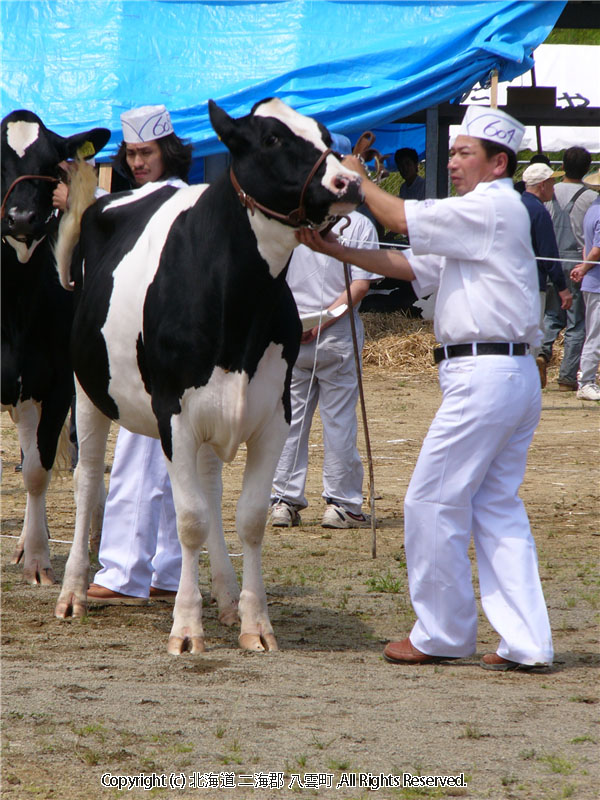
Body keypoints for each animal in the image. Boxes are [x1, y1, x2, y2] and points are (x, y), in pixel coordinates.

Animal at [55, 97, 360, 652]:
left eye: (326, 135)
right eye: (271, 139)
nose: (348, 182)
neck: (238, 305)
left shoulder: (273, 416)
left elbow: (249, 518)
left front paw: (254, 623)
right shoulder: (173, 415)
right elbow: (190, 521)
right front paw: (186, 628)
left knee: (212, 487)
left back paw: (226, 596)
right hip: (88, 390)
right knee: (88, 482)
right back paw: (72, 595)